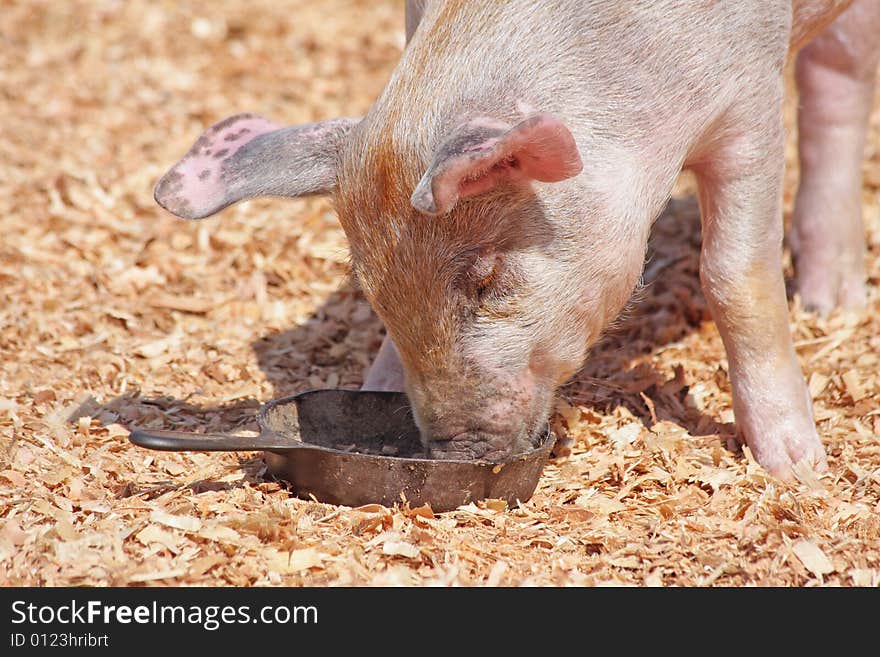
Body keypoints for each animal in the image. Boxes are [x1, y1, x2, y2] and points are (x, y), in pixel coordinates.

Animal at [155, 1, 876, 482]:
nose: (455, 453)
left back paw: (831, 304)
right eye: (375, 293)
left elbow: (734, 277)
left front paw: (795, 469)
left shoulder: (749, 106)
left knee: (837, 83)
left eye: (487, 279)